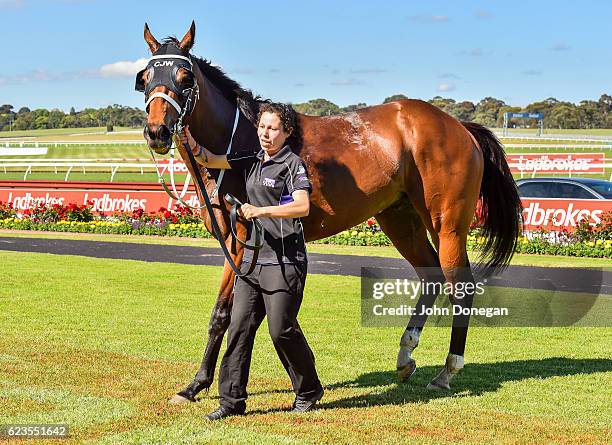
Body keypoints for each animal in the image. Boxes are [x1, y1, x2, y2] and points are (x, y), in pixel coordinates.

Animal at [137, 20, 520, 402]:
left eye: (185, 77)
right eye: (146, 76)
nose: (156, 131)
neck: (241, 143)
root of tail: (459, 126)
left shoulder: (241, 237)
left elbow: (223, 312)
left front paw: (197, 383)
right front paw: (201, 383)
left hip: (446, 223)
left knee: (461, 286)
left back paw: (447, 370)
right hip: (399, 216)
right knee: (431, 275)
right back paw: (405, 355)